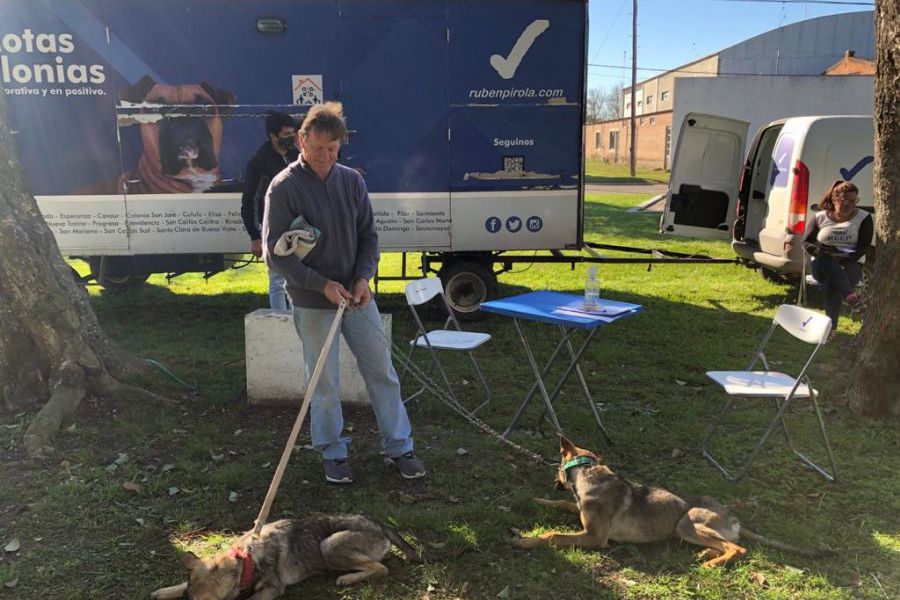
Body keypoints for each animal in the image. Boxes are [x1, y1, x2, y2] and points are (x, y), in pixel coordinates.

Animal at [151, 510, 422, 600]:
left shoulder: (273, 588)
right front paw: (164, 591)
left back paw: (347, 578)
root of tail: (380, 524)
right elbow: (180, 584)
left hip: (329, 545)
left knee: (381, 568)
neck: (245, 561)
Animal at [516, 436, 828, 568]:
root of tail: (735, 518)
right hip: (691, 531)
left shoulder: (596, 537)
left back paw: (713, 564)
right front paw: (536, 499)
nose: (554, 482)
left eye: (557, 465)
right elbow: (562, 505)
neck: (590, 474)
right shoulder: (582, 515)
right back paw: (708, 554)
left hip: (688, 522)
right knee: (726, 545)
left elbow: (554, 535)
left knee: (738, 548)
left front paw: (527, 540)